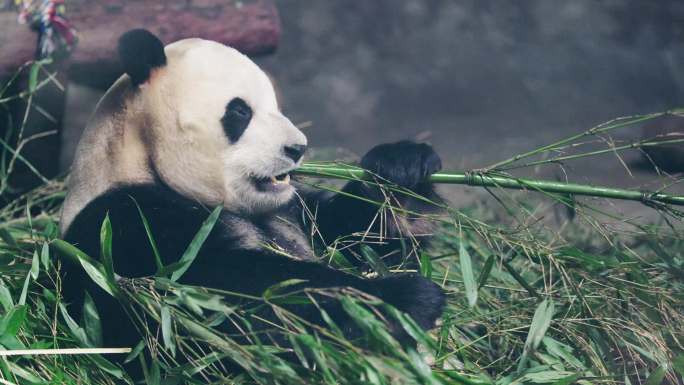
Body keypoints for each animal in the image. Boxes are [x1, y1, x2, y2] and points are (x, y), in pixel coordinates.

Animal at [61, 28, 446, 370]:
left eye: (276, 107)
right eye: (241, 111)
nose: (297, 148)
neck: (138, 162)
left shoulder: (296, 210)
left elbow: (368, 239)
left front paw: (403, 168)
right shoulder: (124, 225)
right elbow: (225, 303)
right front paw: (401, 300)